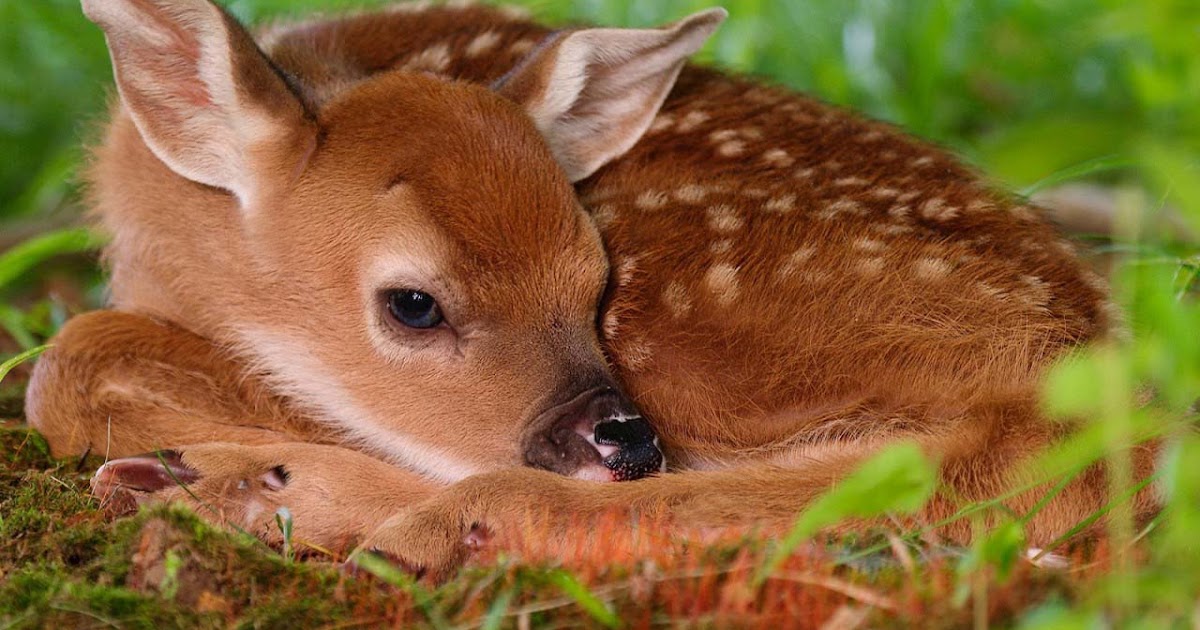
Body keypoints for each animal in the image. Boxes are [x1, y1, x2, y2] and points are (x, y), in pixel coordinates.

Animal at [25, 0, 1161, 579]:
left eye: (592, 273)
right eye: (413, 303)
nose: (623, 439)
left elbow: (66, 368)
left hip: (710, 333)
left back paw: (243, 494)